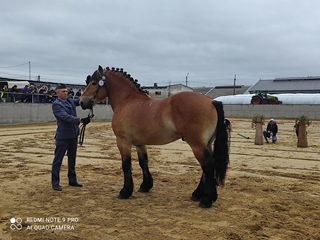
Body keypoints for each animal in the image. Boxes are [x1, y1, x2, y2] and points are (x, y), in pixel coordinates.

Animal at [80, 65, 230, 208]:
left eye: (94, 83)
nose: (81, 102)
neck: (127, 101)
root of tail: (211, 101)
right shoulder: (140, 143)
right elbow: (143, 162)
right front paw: (145, 186)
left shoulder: (123, 141)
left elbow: (126, 165)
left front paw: (125, 191)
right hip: (206, 143)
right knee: (208, 166)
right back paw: (198, 194)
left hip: (197, 144)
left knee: (207, 165)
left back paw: (206, 200)